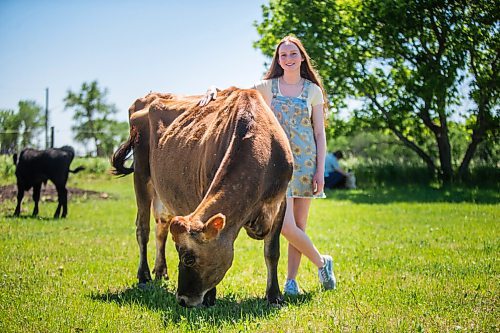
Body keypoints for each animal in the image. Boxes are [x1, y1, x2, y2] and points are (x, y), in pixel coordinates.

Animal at [112, 88, 292, 306]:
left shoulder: (280, 202)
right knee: (142, 228)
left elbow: (272, 251)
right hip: (140, 175)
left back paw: (160, 270)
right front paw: (210, 298)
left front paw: (274, 295)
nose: (182, 299)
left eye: (189, 258)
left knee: (161, 227)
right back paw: (144, 275)